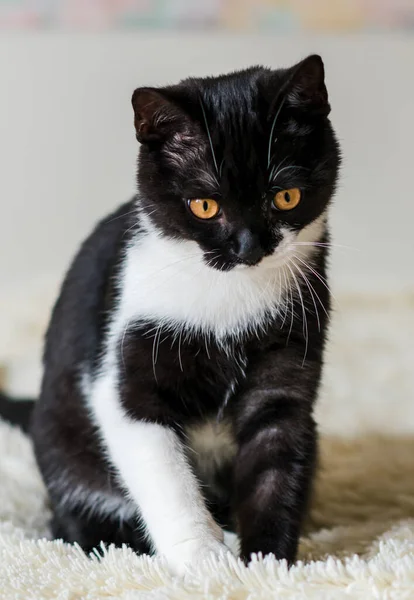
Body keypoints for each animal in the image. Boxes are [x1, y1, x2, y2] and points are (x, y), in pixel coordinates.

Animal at [3, 54, 342, 576]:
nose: (248, 247)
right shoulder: (127, 359)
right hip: (63, 444)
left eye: (285, 196)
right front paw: (205, 560)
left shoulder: (288, 364)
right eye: (204, 205)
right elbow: (163, 470)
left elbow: (277, 464)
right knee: (75, 519)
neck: (230, 294)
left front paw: (267, 567)